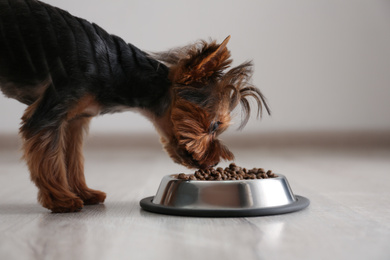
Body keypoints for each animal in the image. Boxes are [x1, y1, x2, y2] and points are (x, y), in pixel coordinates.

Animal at [0, 0, 270, 212]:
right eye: (214, 125)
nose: (214, 164)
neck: (119, 71)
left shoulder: (75, 119)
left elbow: (72, 157)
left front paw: (84, 193)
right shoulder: (51, 111)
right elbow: (50, 159)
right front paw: (61, 200)